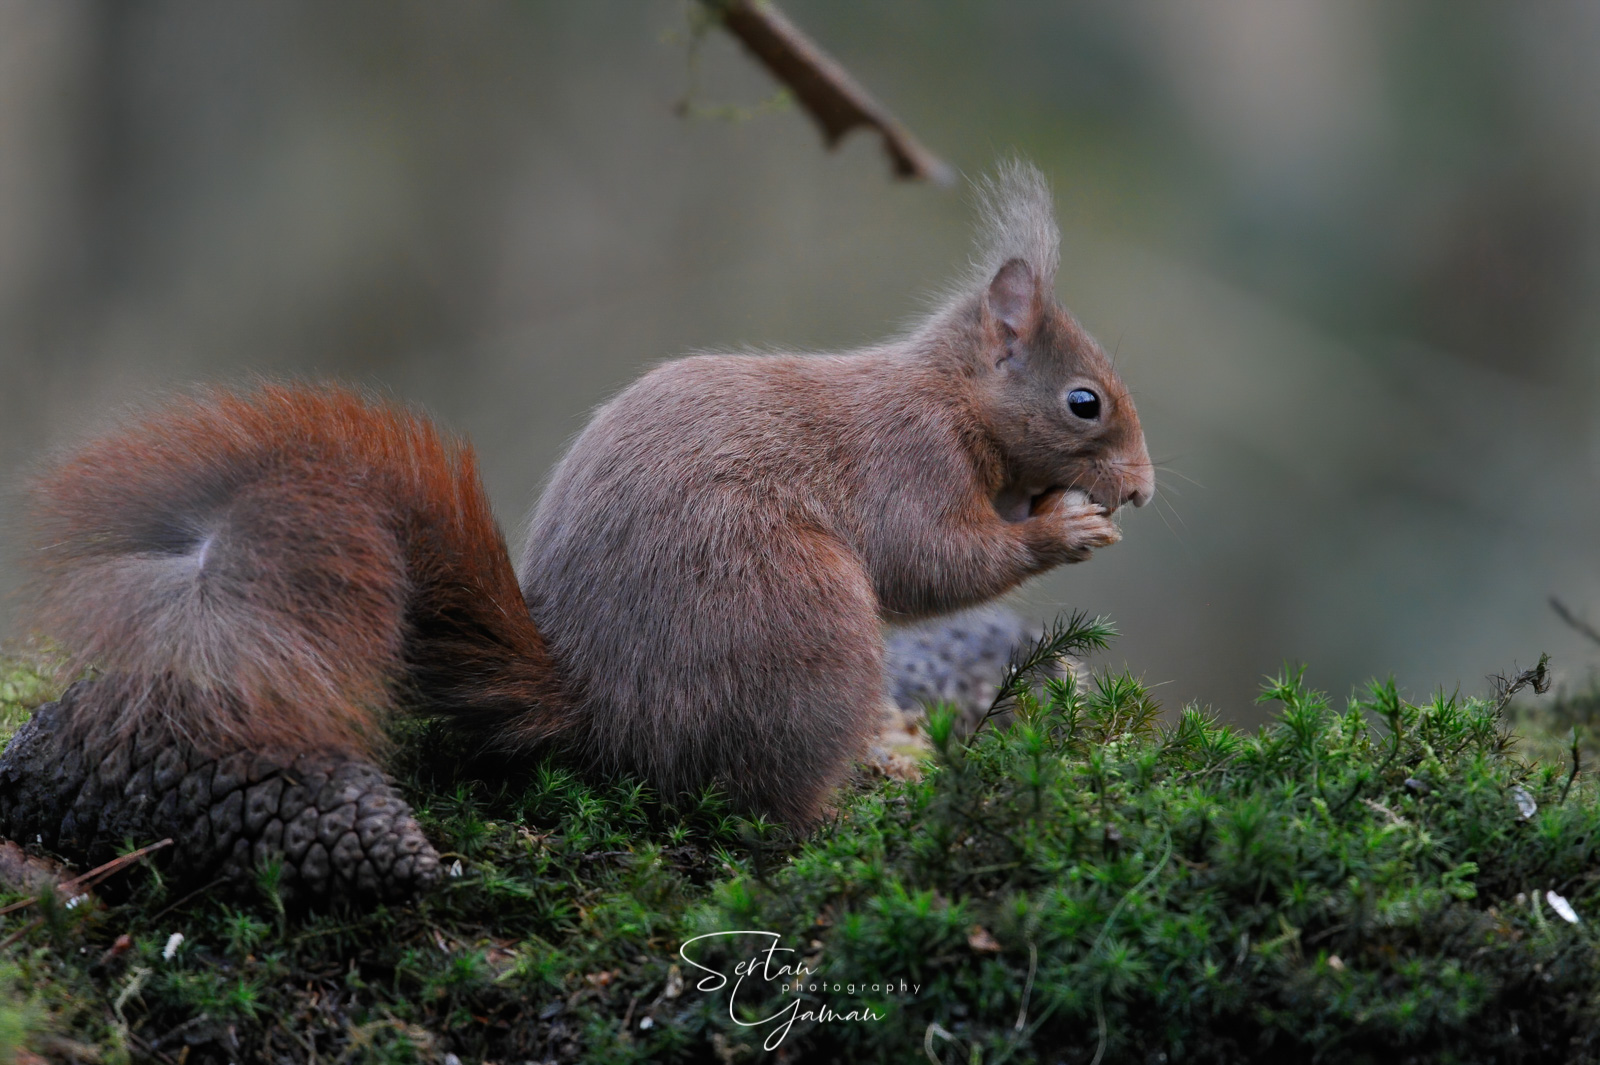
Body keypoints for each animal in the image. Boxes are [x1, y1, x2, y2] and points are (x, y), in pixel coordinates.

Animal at [0, 160, 1151, 902]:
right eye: (1084, 402)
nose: (1141, 489)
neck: (950, 395)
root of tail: (603, 714)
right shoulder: (906, 459)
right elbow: (933, 560)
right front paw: (1064, 529)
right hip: (806, 629)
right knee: (754, 806)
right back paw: (846, 801)